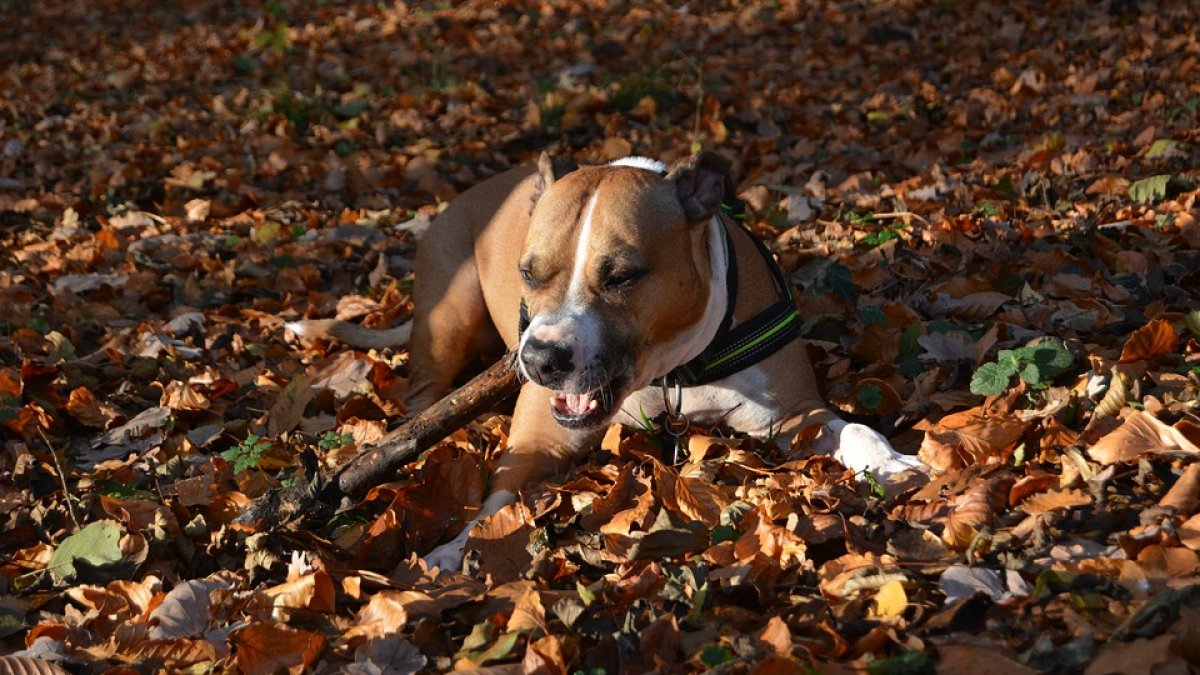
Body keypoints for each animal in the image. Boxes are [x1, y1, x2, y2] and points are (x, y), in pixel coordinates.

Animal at [285, 151, 921, 566]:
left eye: (621, 276)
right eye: (527, 272)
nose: (541, 359)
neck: (670, 373)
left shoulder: (795, 413)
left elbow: (853, 429)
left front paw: (891, 462)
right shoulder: (537, 439)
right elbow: (495, 507)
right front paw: (453, 553)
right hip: (447, 315)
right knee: (424, 392)